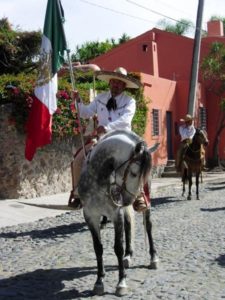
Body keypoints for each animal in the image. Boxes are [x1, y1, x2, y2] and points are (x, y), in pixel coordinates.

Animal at [78, 130, 159, 296]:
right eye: (134, 173)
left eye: (140, 174)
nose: (131, 200)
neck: (98, 179)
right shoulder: (90, 216)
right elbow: (98, 248)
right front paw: (99, 281)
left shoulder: (116, 214)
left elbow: (118, 248)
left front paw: (121, 283)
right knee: (128, 225)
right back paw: (128, 256)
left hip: (145, 204)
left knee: (148, 226)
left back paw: (153, 258)